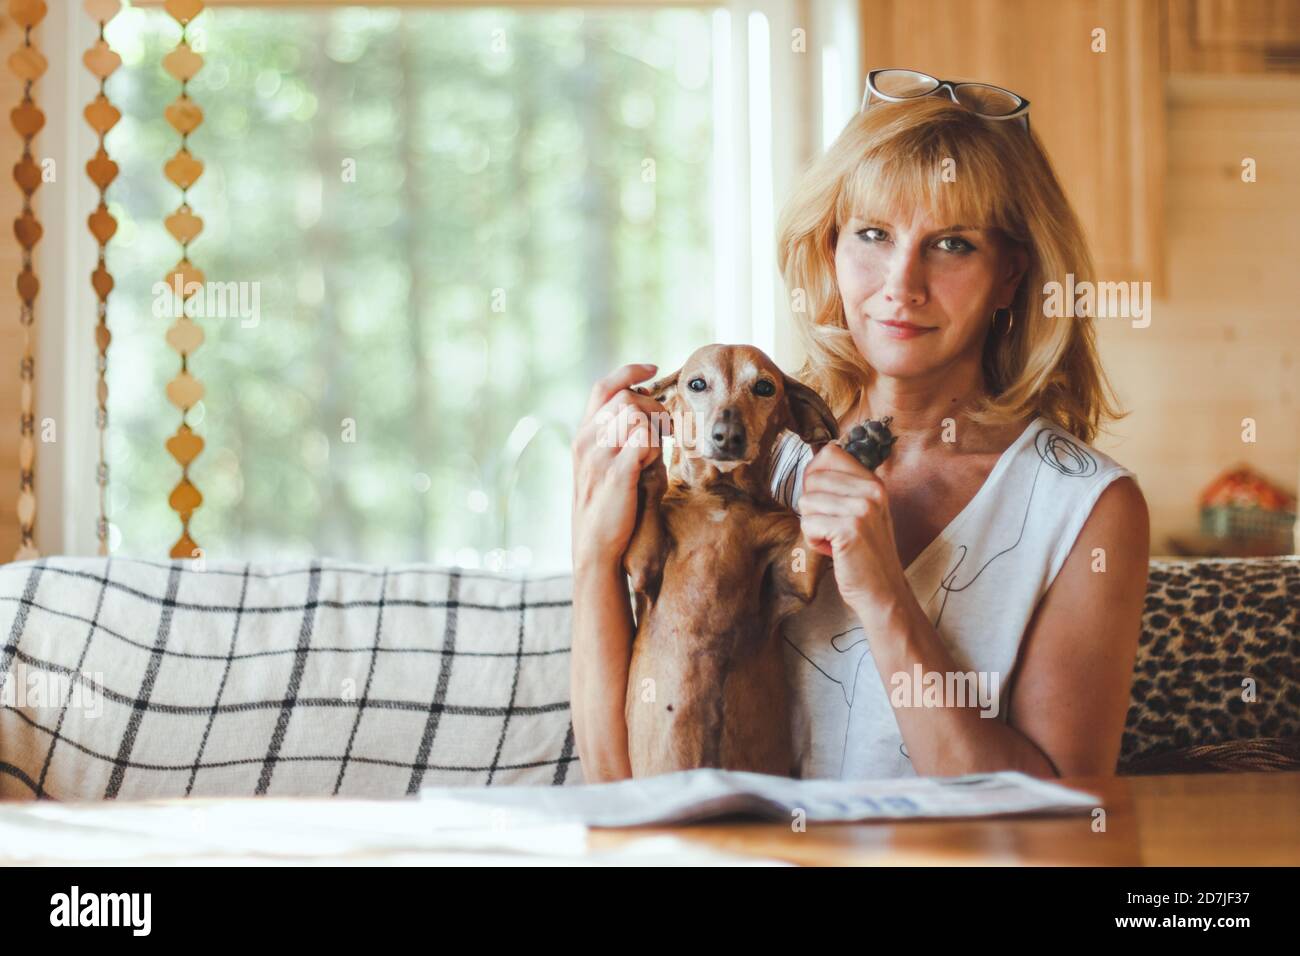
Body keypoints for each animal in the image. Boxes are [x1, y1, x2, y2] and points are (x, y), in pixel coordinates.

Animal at [624, 343, 837, 780]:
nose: (728, 436)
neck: (721, 498)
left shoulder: (795, 578)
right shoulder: (643, 564)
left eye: (764, 387)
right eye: (696, 384)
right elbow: (652, 488)